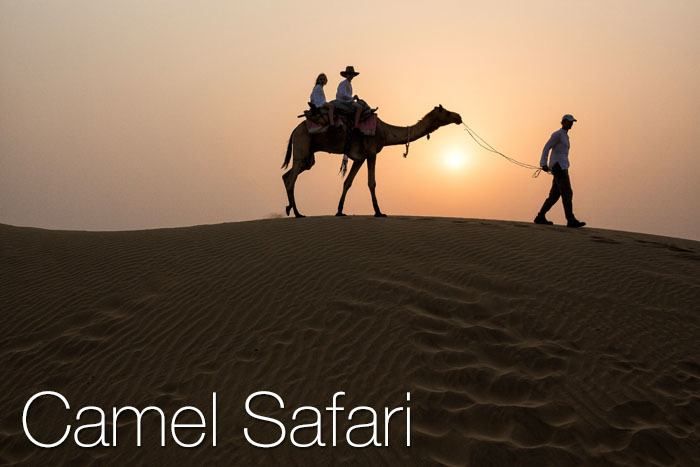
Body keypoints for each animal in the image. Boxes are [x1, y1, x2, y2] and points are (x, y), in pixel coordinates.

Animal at [282, 106, 462, 218]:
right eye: (445, 112)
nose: (459, 116)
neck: (386, 132)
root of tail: (294, 131)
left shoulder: (360, 157)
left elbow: (347, 182)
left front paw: (339, 211)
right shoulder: (372, 152)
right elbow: (371, 182)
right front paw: (379, 212)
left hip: (307, 157)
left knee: (287, 175)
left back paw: (289, 208)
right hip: (302, 147)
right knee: (291, 179)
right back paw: (298, 213)